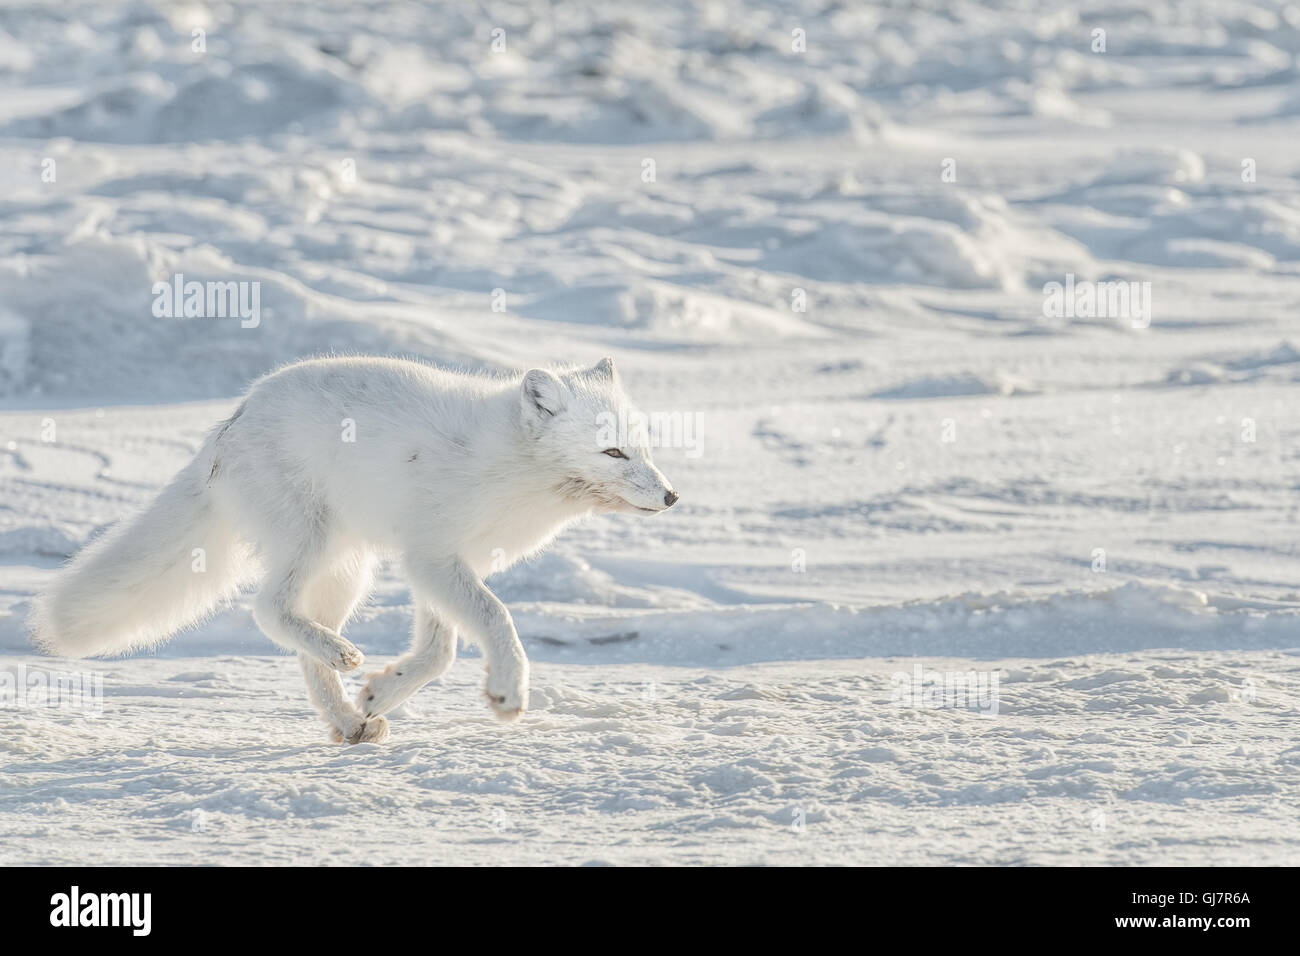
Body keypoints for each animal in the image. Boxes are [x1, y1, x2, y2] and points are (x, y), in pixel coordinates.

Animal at [29, 355, 678, 743]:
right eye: (612, 453)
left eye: (643, 448)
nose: (672, 496)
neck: (512, 470)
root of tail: (229, 423)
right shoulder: (432, 556)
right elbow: (495, 618)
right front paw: (508, 692)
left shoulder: (440, 564)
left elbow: (439, 653)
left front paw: (381, 692)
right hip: (311, 544)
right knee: (268, 610)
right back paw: (341, 659)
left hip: (349, 569)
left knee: (300, 644)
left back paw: (347, 719)